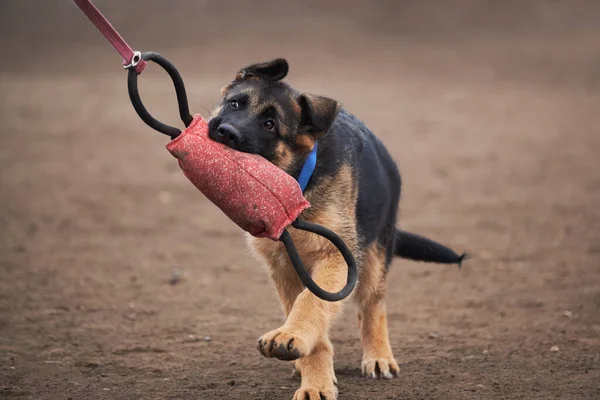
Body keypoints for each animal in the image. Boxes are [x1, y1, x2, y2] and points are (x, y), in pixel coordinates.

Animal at [209, 57, 466, 398]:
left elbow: (311, 303)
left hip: (373, 260)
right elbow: (305, 311)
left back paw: (378, 356)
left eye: (270, 124)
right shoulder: (284, 268)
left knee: (373, 306)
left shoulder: (336, 258)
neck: (296, 187)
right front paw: (312, 374)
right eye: (235, 103)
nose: (225, 132)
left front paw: (294, 340)